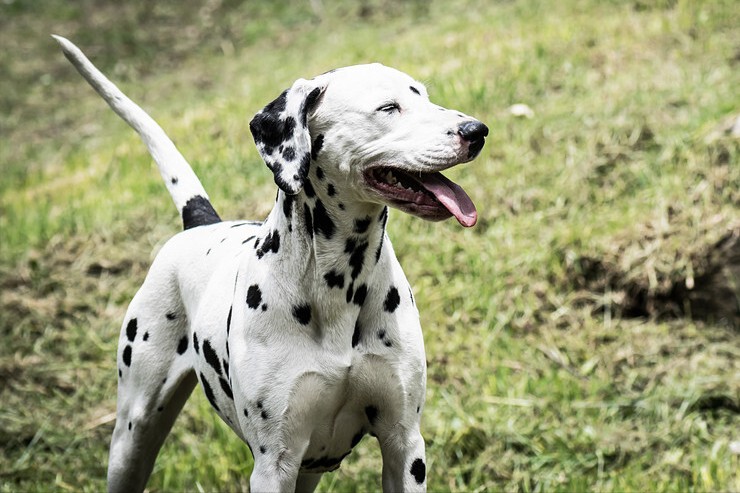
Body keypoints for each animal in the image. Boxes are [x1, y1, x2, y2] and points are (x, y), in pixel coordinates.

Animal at [55, 35, 488, 492]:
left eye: (424, 96)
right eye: (389, 108)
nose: (476, 131)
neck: (339, 283)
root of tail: (200, 221)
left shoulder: (404, 446)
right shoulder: (273, 464)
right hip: (132, 439)